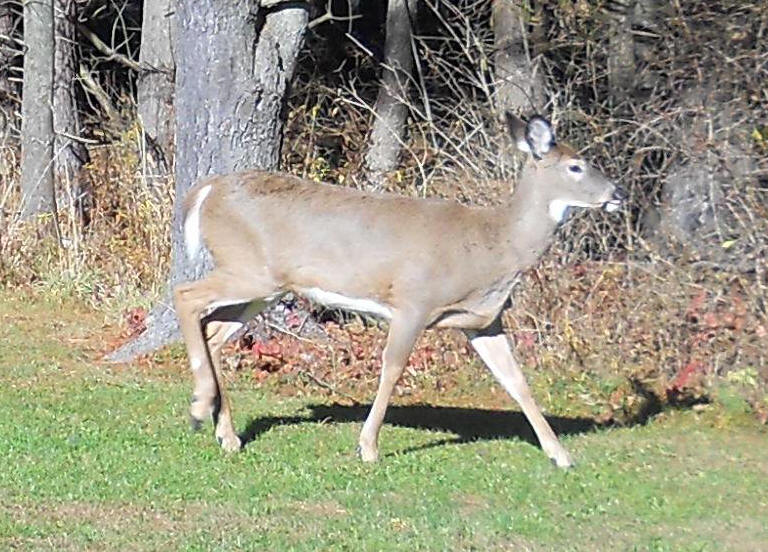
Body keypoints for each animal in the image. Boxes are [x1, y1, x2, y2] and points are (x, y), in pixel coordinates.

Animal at [173, 113, 625, 468]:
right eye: (576, 166)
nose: (617, 194)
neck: (493, 245)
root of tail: (207, 190)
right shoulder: (413, 301)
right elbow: (392, 368)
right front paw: (368, 447)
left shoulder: (484, 321)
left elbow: (516, 380)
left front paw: (560, 455)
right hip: (248, 269)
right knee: (185, 295)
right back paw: (198, 408)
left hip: (263, 286)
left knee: (214, 330)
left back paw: (226, 434)